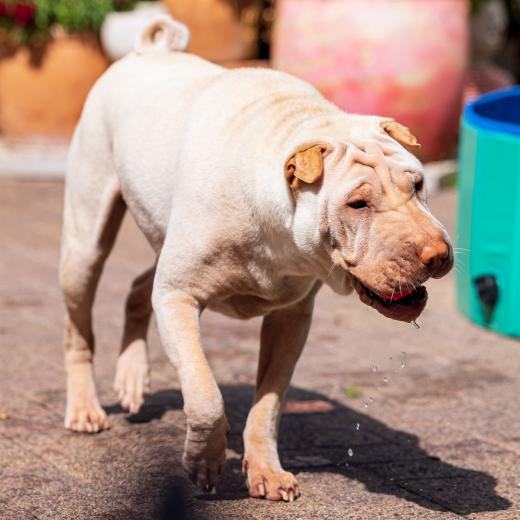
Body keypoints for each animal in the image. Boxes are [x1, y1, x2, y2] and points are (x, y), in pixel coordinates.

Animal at [59, 16, 453, 502]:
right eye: (357, 204)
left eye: (417, 184)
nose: (438, 254)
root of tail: (148, 51)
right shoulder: (178, 297)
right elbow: (206, 396)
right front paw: (204, 462)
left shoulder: (291, 319)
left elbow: (268, 404)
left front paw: (266, 471)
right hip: (85, 245)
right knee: (80, 328)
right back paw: (84, 408)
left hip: (162, 240)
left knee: (137, 289)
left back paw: (132, 378)